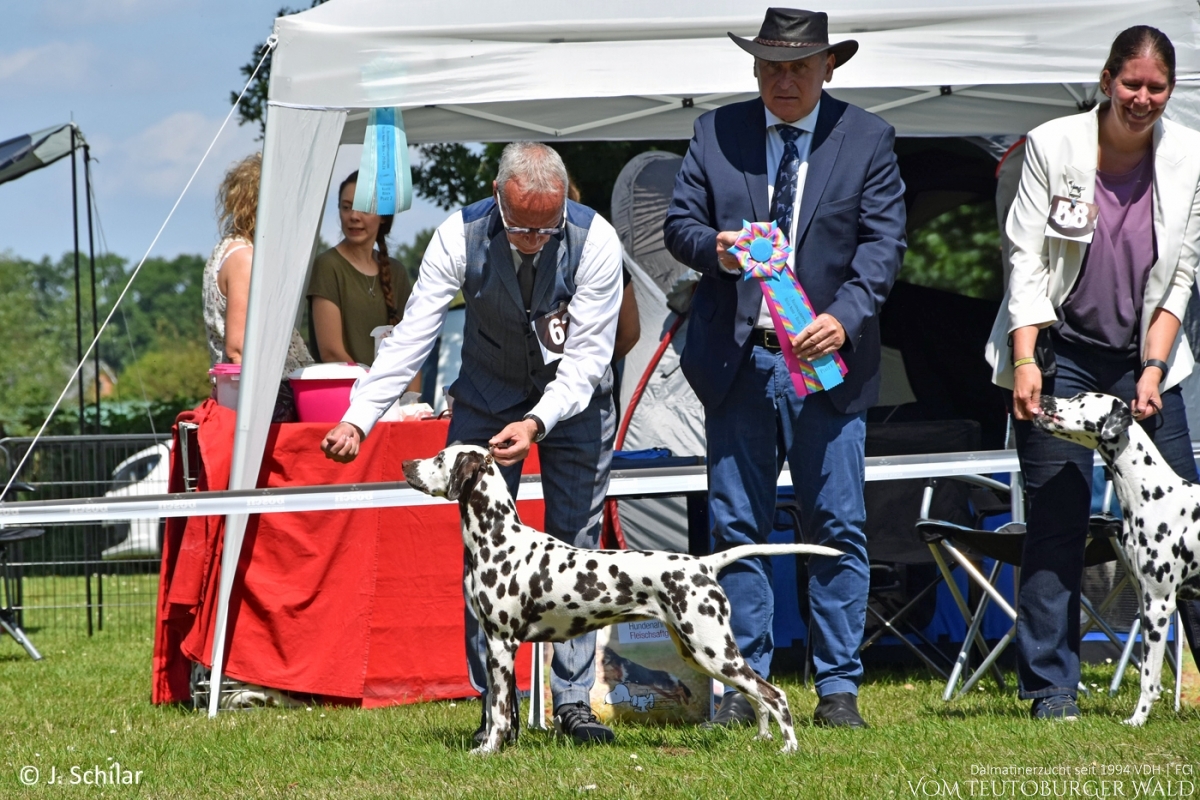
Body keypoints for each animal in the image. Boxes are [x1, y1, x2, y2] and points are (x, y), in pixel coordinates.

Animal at [403, 443, 844, 758]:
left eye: (440, 457)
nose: (407, 464)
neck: (498, 538)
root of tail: (704, 563)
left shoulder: (501, 645)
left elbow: (496, 712)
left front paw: (488, 750)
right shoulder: (499, 648)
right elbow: (502, 710)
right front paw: (496, 745)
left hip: (713, 651)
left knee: (774, 694)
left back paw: (789, 748)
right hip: (703, 654)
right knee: (757, 696)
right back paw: (763, 740)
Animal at [1032, 393, 1200, 724]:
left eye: (1080, 398)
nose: (1044, 396)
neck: (1155, 495)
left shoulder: (1159, 605)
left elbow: (1148, 679)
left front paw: (1137, 721)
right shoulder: (1143, 603)